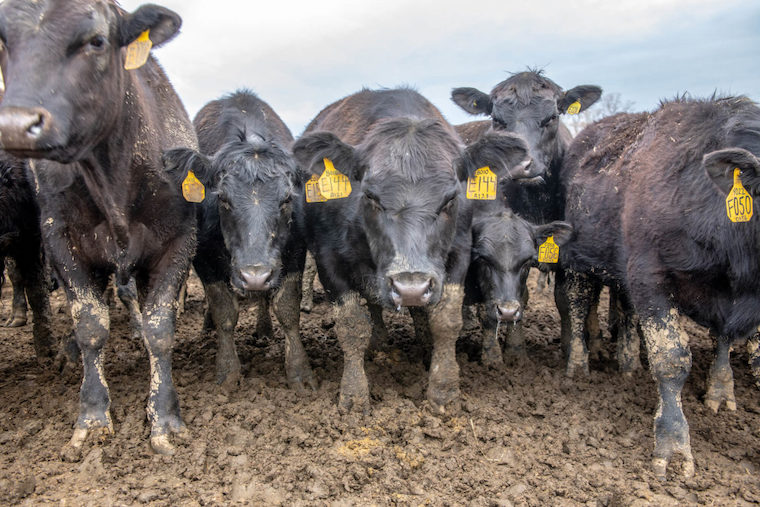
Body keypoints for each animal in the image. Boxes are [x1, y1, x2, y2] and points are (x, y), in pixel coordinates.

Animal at [162, 89, 315, 392]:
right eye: (223, 198)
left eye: (286, 199)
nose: (254, 276)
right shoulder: (205, 257)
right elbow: (224, 311)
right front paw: (227, 371)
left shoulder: (294, 252)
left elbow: (287, 308)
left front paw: (299, 371)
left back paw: (263, 329)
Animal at [292, 87, 542, 414]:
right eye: (370, 196)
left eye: (451, 198)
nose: (410, 287)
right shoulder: (328, 260)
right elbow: (351, 327)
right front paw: (354, 395)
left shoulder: (459, 255)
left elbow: (445, 321)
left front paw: (444, 389)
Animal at [451, 70, 605, 373]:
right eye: (498, 120)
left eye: (551, 117)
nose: (522, 165)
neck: (535, 203)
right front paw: (513, 352)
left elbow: (567, 301)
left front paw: (570, 350)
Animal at [558, 96, 760, 479]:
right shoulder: (649, 277)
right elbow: (672, 358)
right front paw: (674, 445)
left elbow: (726, 341)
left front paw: (720, 390)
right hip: (577, 259)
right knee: (576, 304)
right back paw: (578, 366)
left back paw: (627, 364)